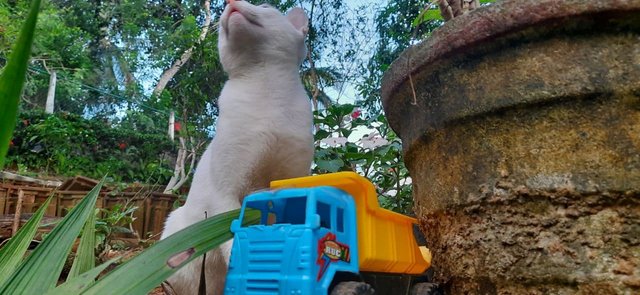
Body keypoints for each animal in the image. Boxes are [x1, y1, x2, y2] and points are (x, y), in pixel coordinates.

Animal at [161, 1, 314, 294]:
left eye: (264, 6)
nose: (230, 3)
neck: (265, 88)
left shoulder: (291, 178)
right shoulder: (226, 193)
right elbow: (236, 241)